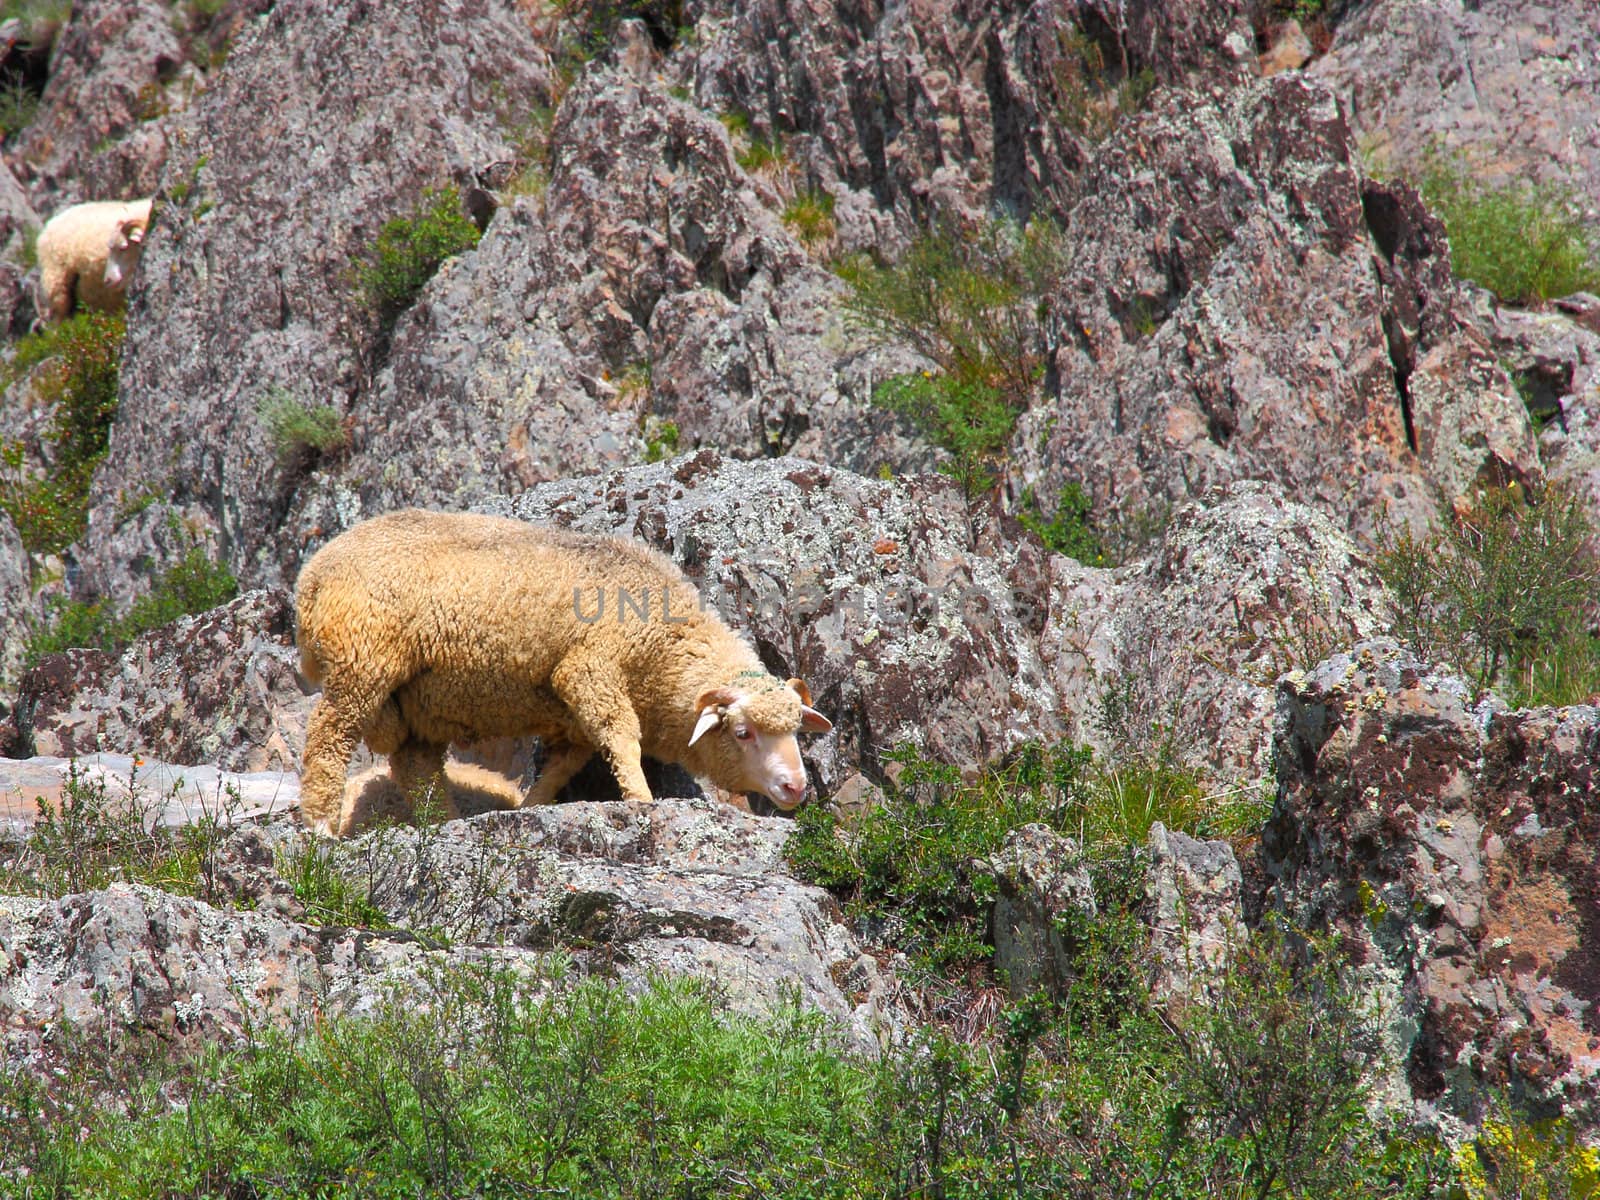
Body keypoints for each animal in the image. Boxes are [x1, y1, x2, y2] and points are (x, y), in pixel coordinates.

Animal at [294, 512, 838, 838]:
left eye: (796, 730)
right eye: (743, 733)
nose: (795, 787)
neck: (662, 647)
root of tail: (312, 575)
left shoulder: (572, 719)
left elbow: (562, 767)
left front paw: (527, 807)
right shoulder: (589, 670)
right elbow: (621, 737)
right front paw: (641, 799)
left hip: (416, 704)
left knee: (416, 767)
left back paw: (442, 825)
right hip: (362, 663)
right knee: (328, 739)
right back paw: (321, 826)